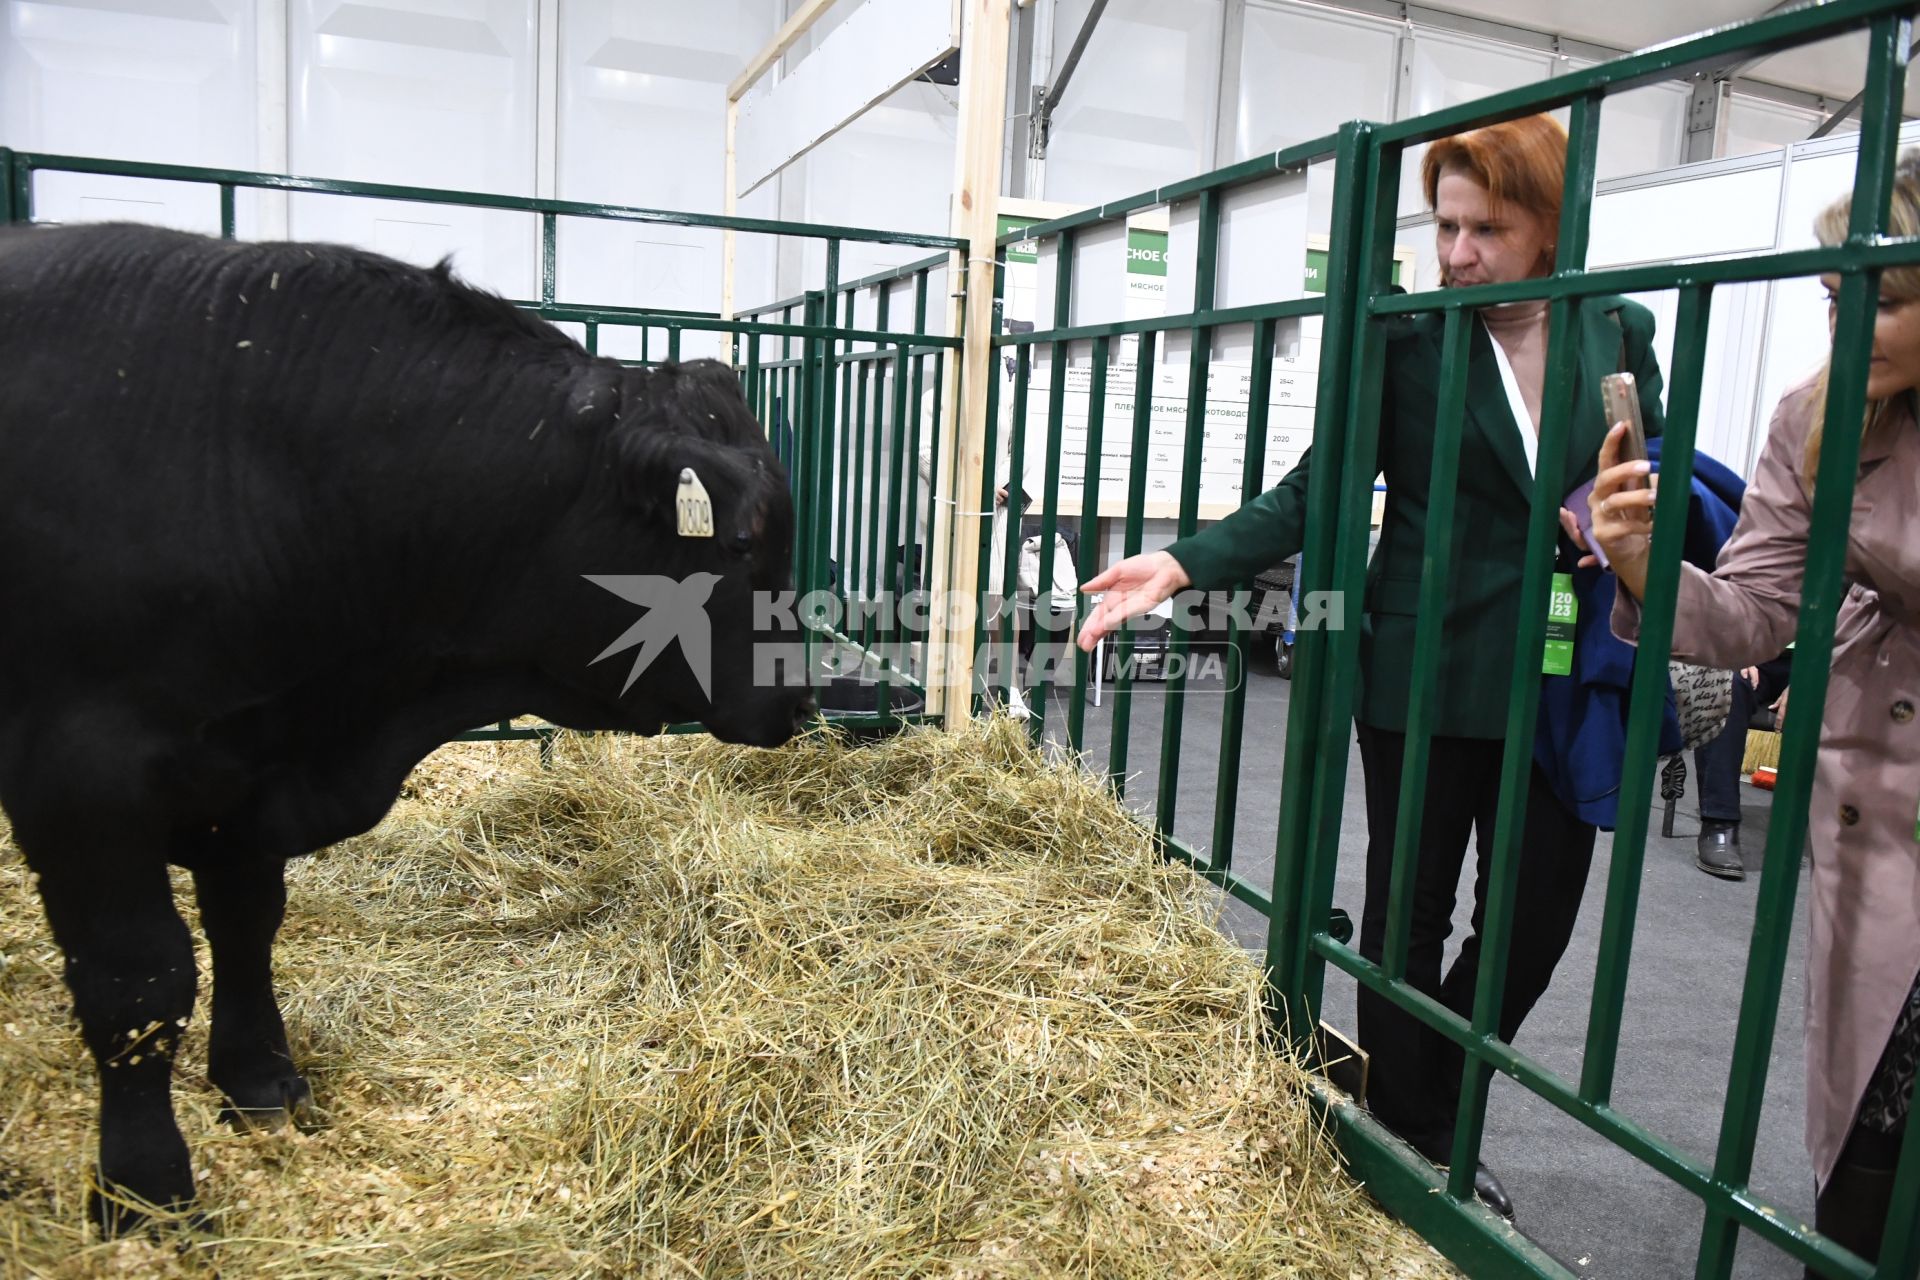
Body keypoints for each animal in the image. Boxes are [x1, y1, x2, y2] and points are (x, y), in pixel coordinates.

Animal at [0, 225, 817, 1235]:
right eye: (738, 545)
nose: (802, 697)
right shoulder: (82, 775)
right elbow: (139, 980)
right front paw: (147, 1192)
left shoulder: (250, 767)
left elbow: (245, 924)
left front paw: (259, 1080)